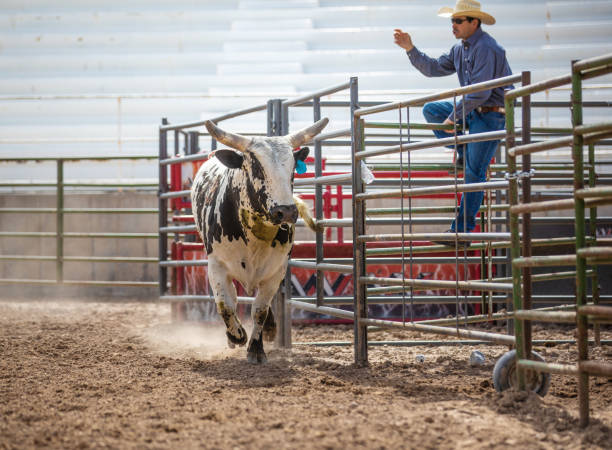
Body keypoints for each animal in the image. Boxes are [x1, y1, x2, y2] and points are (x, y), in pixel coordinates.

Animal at [192, 118, 330, 364]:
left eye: (293, 167)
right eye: (257, 167)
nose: (286, 212)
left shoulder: (276, 270)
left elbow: (260, 309)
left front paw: (256, 348)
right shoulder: (216, 265)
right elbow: (225, 304)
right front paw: (236, 335)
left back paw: (270, 328)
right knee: (233, 298)